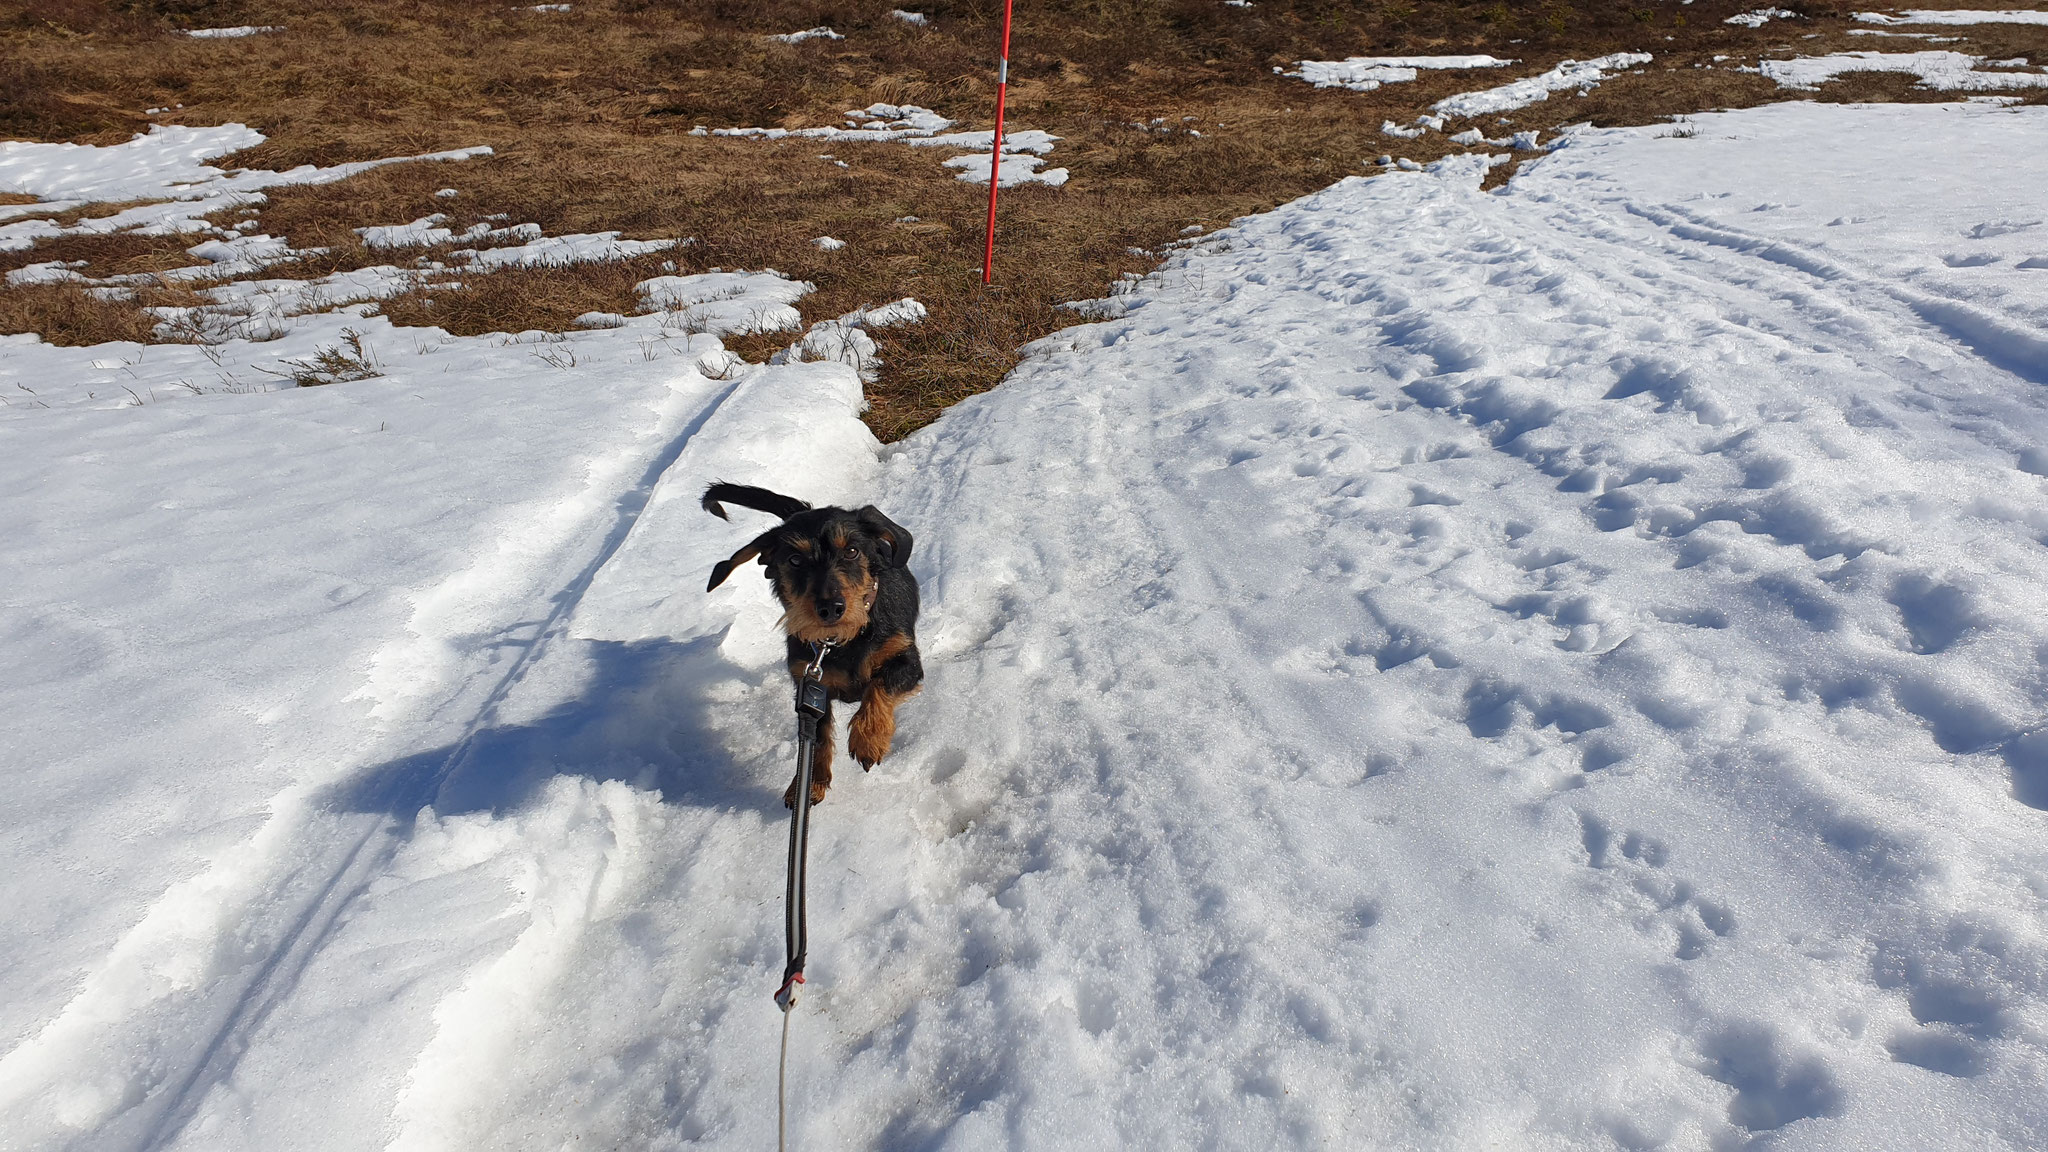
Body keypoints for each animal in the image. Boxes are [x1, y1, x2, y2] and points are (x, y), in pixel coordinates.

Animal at [704, 479, 929, 803]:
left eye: (852, 551)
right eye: (795, 560)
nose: (830, 608)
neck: (841, 641)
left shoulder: (907, 661)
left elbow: (880, 685)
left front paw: (868, 739)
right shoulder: (809, 687)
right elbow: (818, 738)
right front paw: (809, 783)